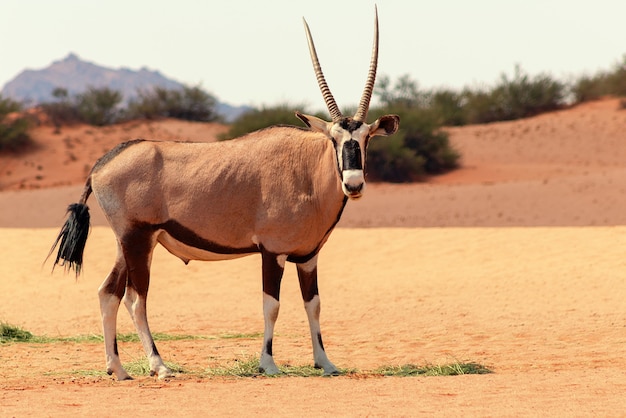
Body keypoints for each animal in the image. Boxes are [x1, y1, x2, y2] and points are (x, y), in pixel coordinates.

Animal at [50, 7, 400, 378]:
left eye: (365, 138)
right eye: (333, 138)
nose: (353, 183)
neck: (306, 172)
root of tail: (101, 165)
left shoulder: (308, 257)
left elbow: (314, 304)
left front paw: (326, 363)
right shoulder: (272, 252)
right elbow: (271, 305)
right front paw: (267, 363)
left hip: (128, 244)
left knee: (108, 293)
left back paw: (117, 368)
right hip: (137, 240)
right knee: (135, 298)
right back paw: (159, 365)